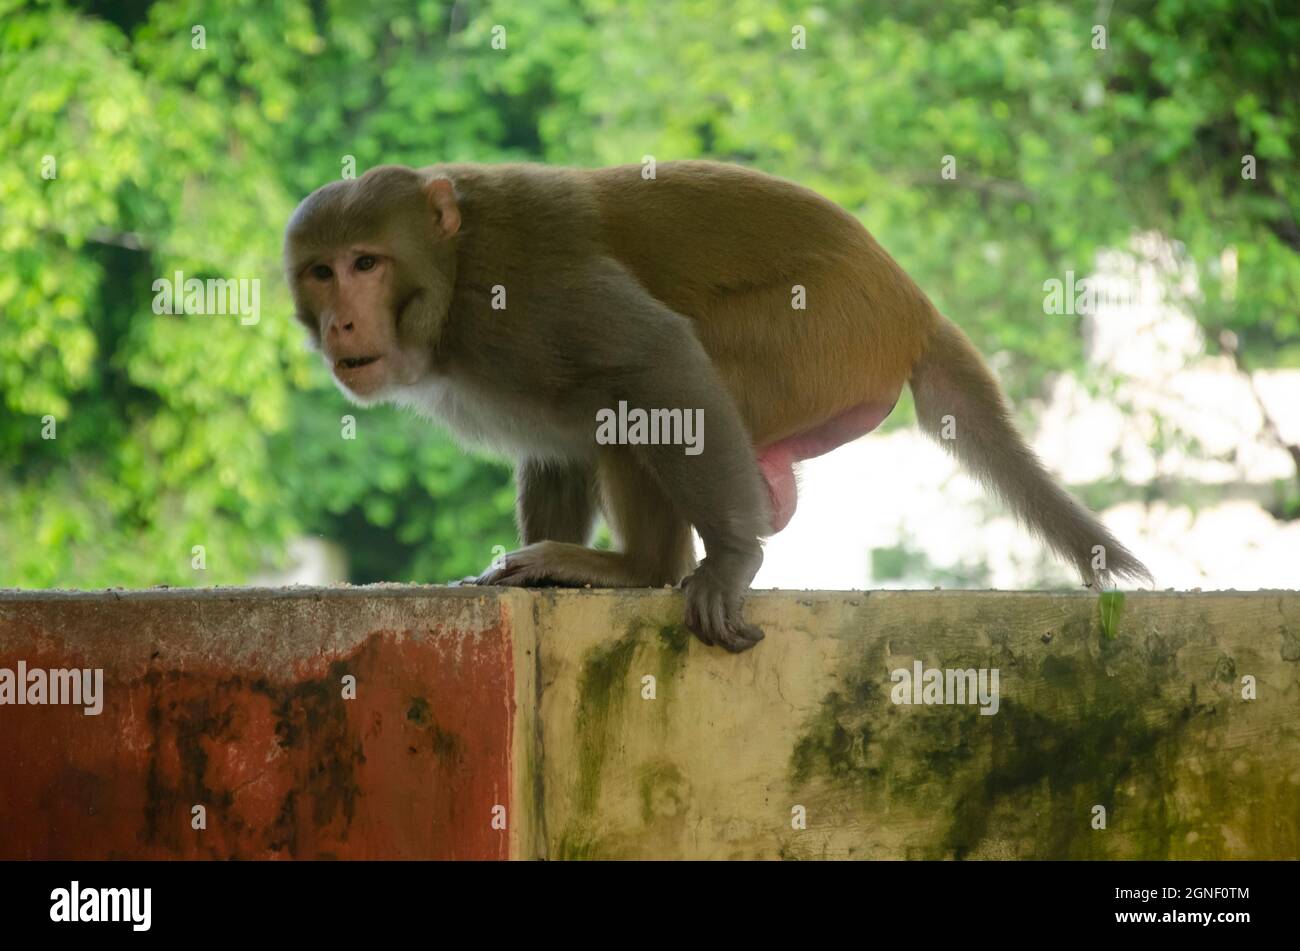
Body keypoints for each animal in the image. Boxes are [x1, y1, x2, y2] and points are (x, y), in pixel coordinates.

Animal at [284, 161, 1149, 654]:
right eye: (322, 272)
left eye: (366, 263)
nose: (342, 323)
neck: (452, 273)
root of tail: (912, 305)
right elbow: (557, 449)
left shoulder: (518, 296)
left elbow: (652, 356)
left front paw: (732, 558)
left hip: (819, 336)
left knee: (640, 394)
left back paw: (640, 569)